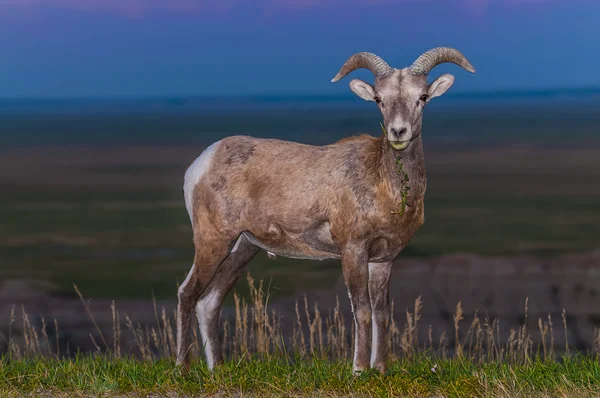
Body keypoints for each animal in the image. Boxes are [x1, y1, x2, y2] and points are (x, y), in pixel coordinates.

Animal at [176, 48, 476, 374]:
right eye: (379, 99)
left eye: (422, 97)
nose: (398, 132)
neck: (385, 183)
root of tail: (201, 164)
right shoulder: (353, 251)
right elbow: (362, 311)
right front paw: (359, 370)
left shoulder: (383, 260)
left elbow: (381, 313)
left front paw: (380, 368)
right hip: (214, 242)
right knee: (188, 293)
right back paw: (183, 367)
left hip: (240, 249)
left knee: (209, 302)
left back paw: (217, 367)